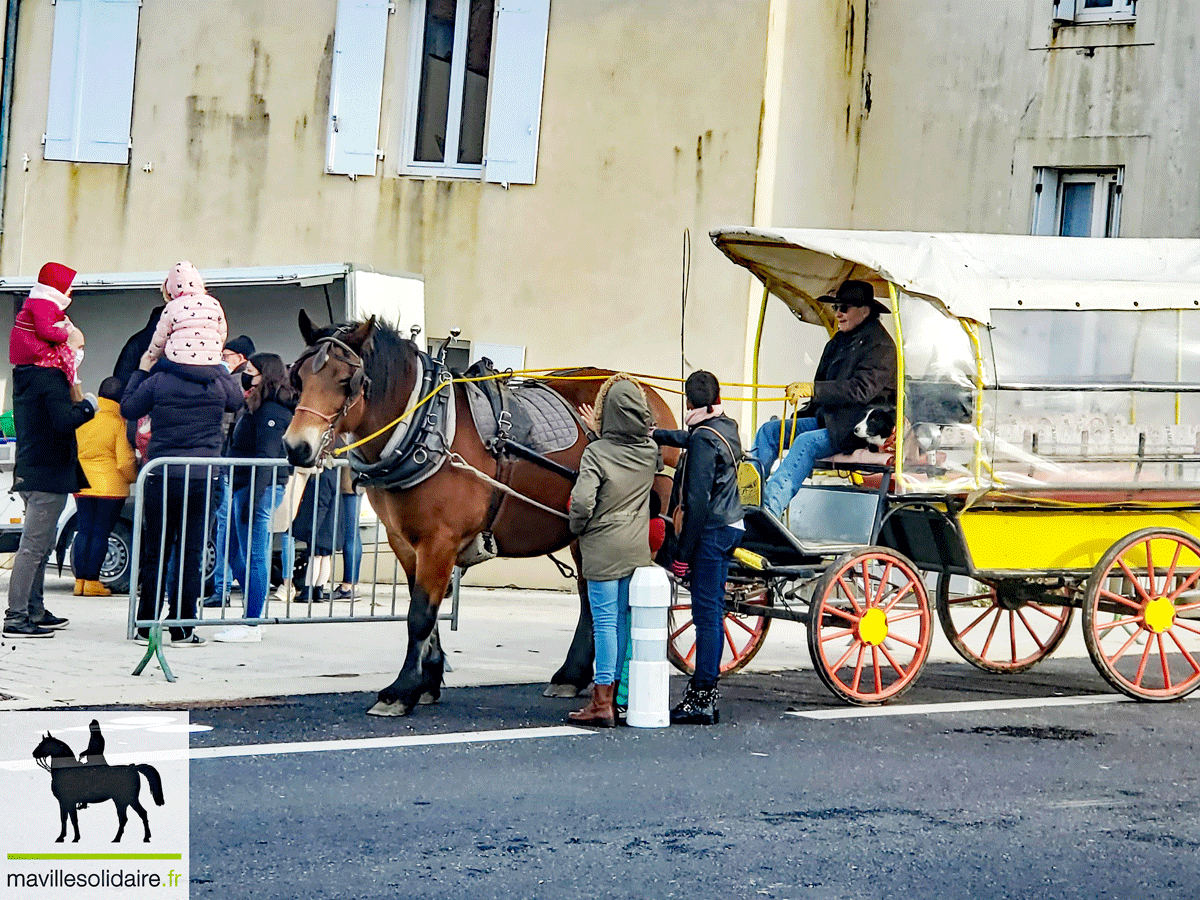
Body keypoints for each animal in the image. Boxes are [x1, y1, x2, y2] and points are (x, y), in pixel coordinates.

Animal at [280, 314, 676, 715]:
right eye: (299, 378)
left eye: (347, 382)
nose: (297, 447)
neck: (426, 427)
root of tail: (651, 396)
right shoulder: (404, 541)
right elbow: (426, 612)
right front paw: (428, 680)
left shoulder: (439, 540)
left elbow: (420, 615)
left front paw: (401, 690)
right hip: (586, 533)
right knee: (590, 598)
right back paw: (571, 676)